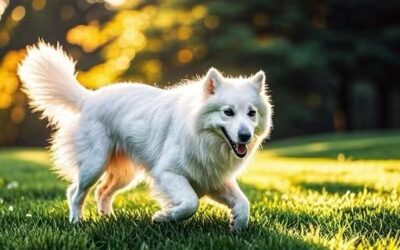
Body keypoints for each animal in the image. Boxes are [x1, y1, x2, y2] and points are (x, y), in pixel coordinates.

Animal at [18, 41, 272, 230]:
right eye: (228, 112)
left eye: (251, 113)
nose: (245, 136)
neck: (201, 134)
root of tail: (88, 98)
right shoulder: (168, 173)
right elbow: (190, 203)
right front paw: (164, 216)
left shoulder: (213, 179)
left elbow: (244, 203)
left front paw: (237, 225)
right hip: (94, 164)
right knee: (76, 192)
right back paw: (76, 221)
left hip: (124, 174)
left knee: (102, 191)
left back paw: (108, 218)